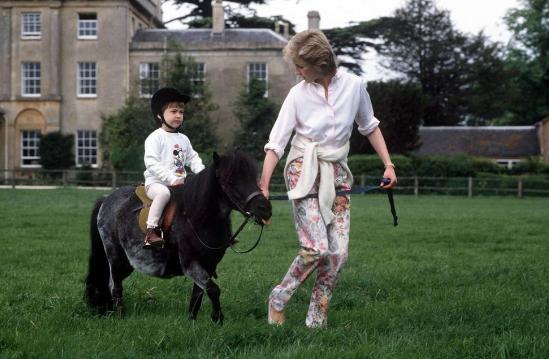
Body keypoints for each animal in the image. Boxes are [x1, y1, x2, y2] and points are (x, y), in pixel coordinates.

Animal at [85, 152, 272, 324]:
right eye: (230, 181)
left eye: (253, 177)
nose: (265, 209)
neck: (195, 218)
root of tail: (106, 200)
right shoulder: (191, 264)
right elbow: (213, 290)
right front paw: (218, 319)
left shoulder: (208, 265)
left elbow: (198, 294)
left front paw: (192, 321)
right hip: (115, 256)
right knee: (114, 286)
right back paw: (120, 316)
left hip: (127, 262)